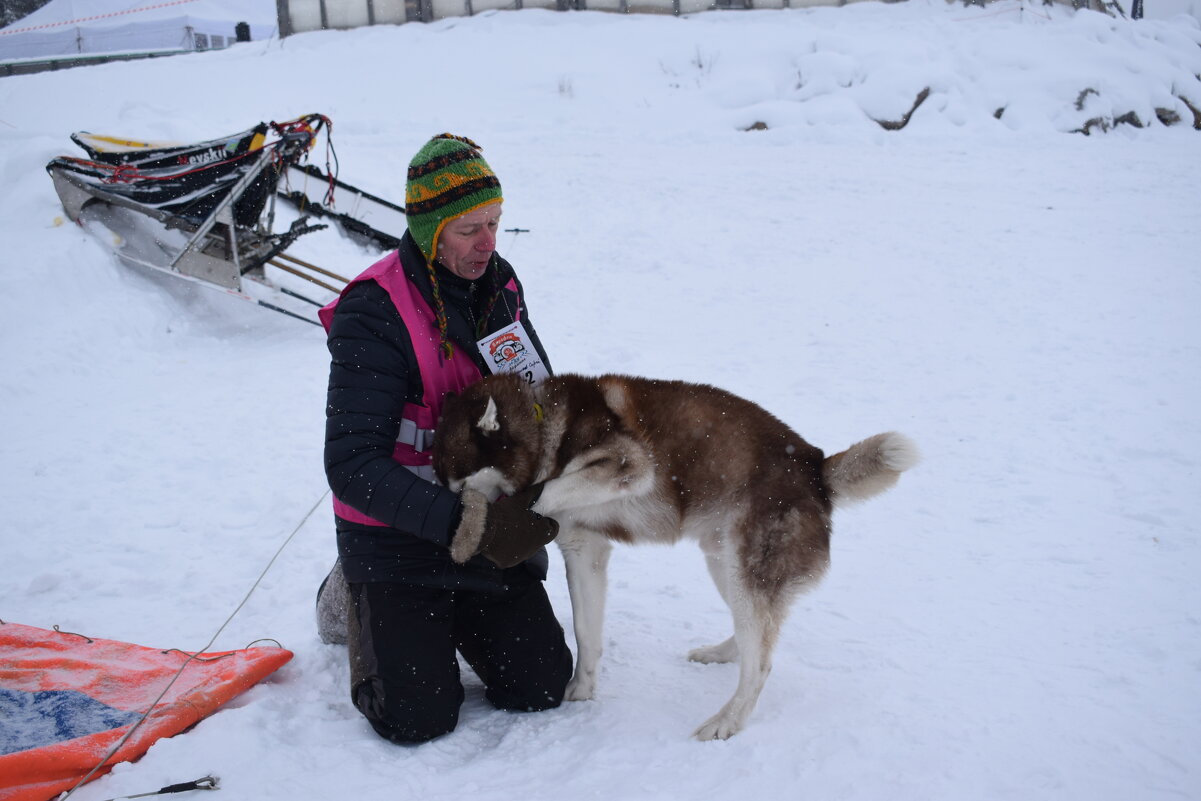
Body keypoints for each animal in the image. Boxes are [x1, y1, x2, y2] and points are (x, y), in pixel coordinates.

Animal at [434, 374, 917, 739]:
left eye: (459, 486)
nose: (449, 516)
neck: (541, 427)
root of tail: (816, 467)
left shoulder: (629, 465)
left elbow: (548, 490)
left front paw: (517, 511)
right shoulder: (584, 549)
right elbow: (587, 635)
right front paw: (581, 691)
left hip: (745, 572)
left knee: (760, 663)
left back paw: (726, 721)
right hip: (724, 564)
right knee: (751, 636)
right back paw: (722, 653)